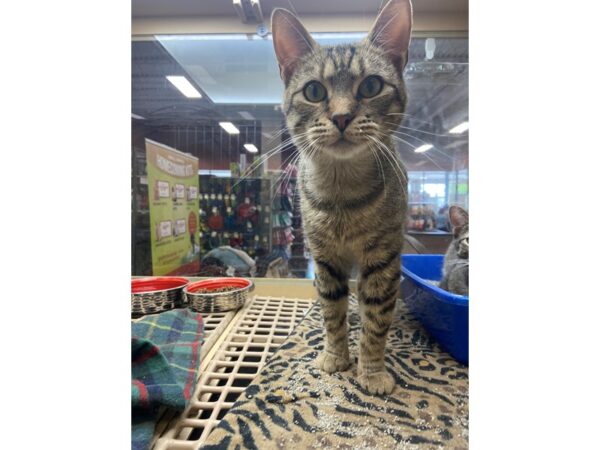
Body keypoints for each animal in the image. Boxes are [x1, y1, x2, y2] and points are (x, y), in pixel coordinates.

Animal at [272, 0, 412, 394]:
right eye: (314, 91)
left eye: (371, 85)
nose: (341, 117)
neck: (342, 195)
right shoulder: (325, 260)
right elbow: (332, 313)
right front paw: (336, 357)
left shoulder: (382, 259)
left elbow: (376, 319)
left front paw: (371, 370)